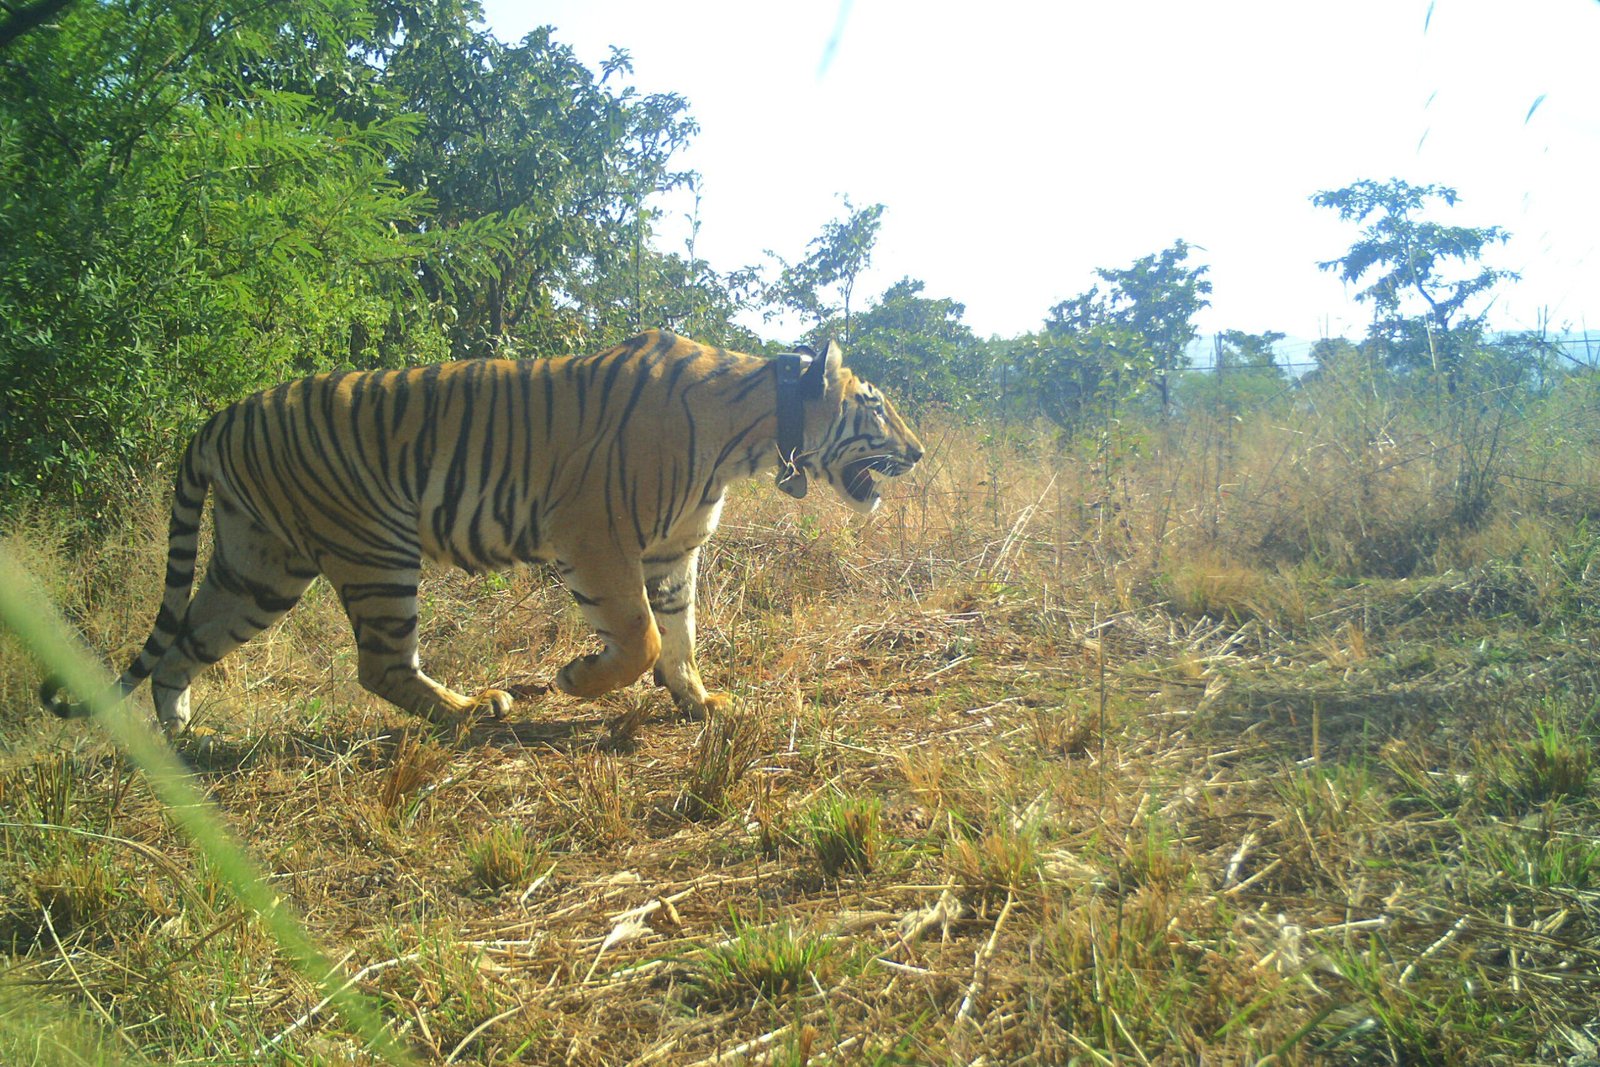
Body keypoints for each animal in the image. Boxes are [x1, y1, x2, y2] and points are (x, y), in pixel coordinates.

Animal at [41, 329, 923, 735]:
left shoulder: (675, 551)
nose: (917, 451)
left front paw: (701, 700)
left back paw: (180, 743)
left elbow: (679, 638)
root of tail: (221, 415)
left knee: (184, 645)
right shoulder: (595, 535)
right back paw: (477, 708)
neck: (752, 430)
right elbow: (639, 637)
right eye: (878, 406)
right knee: (380, 666)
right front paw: (575, 678)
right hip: (374, 551)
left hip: (259, 567)